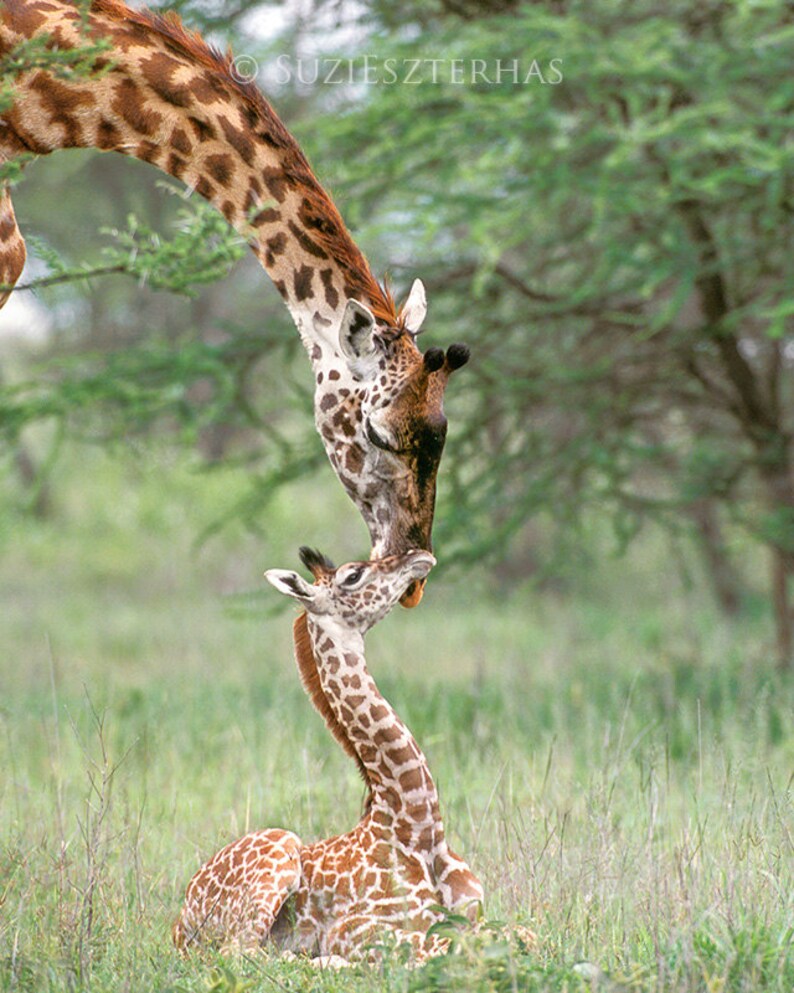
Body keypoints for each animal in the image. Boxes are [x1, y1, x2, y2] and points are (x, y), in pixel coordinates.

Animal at [172, 546, 483, 963]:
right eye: (353, 576)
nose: (419, 556)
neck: (417, 828)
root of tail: (179, 923)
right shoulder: (355, 928)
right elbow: (444, 947)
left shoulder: (475, 912)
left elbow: (518, 933)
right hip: (278, 849)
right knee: (243, 952)